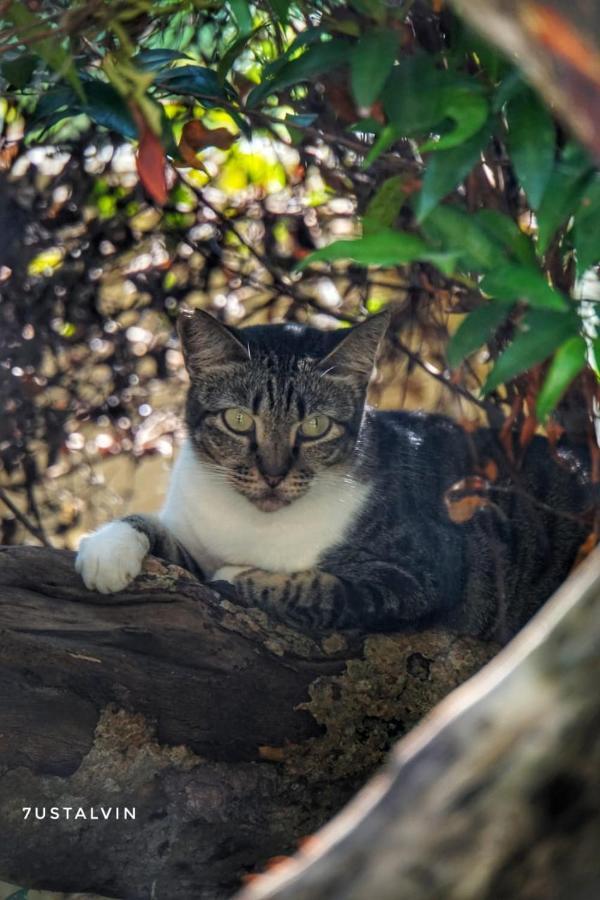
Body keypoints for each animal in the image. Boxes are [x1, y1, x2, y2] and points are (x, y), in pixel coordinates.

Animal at [76, 308, 596, 640]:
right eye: (239, 420)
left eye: (315, 426)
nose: (272, 473)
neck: (258, 523)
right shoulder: (196, 536)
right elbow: (162, 535)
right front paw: (106, 550)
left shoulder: (420, 574)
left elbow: (319, 590)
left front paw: (239, 574)